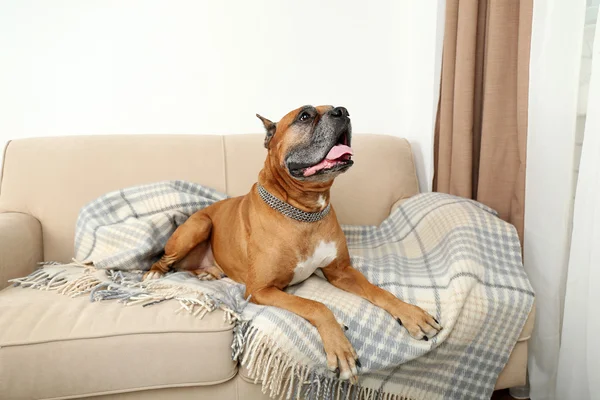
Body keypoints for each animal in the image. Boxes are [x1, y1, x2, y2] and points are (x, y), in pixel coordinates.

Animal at [144, 105, 442, 382]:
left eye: (337, 107)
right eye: (305, 116)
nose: (342, 111)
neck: (305, 210)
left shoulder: (340, 272)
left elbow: (379, 291)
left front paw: (412, 314)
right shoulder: (261, 290)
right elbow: (316, 306)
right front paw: (341, 348)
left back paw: (208, 273)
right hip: (198, 226)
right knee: (164, 260)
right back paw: (154, 275)